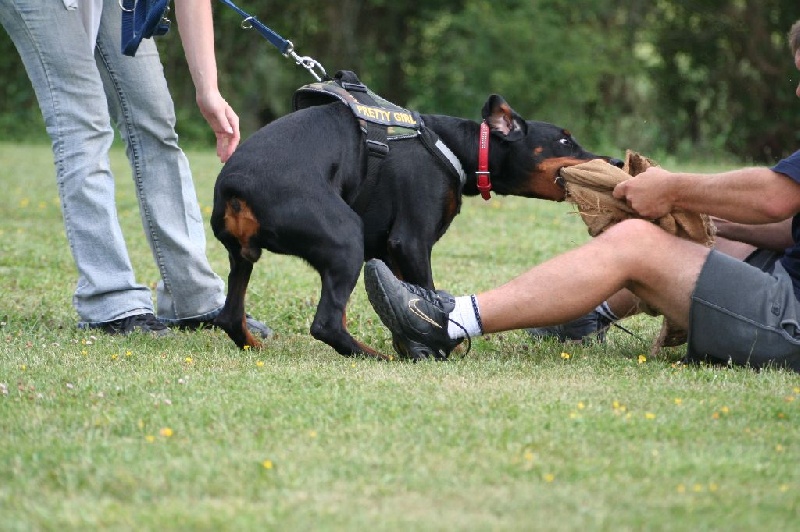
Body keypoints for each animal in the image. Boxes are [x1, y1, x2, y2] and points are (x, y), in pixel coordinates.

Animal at [209, 70, 620, 360]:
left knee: (231, 315)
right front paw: (444, 346)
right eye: (565, 140)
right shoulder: (410, 242)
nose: (615, 160)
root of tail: (235, 186)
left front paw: (412, 344)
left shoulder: (392, 252)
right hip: (345, 238)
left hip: (243, 258)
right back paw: (373, 357)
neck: (457, 145)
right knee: (326, 324)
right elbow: (429, 290)